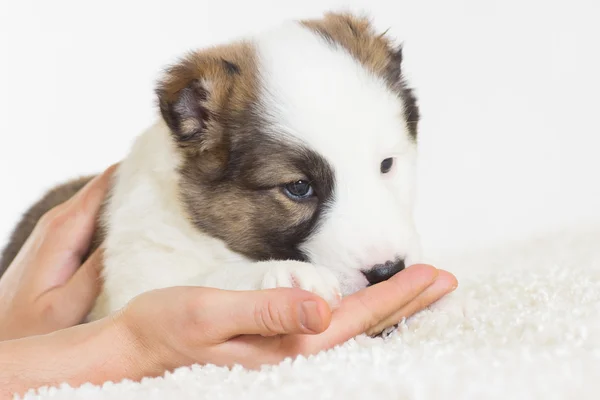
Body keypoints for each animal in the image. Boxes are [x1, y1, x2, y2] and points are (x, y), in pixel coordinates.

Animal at [0, 12, 422, 322]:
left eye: (386, 165)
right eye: (299, 187)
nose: (388, 271)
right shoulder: (135, 282)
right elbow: (204, 281)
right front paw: (286, 275)